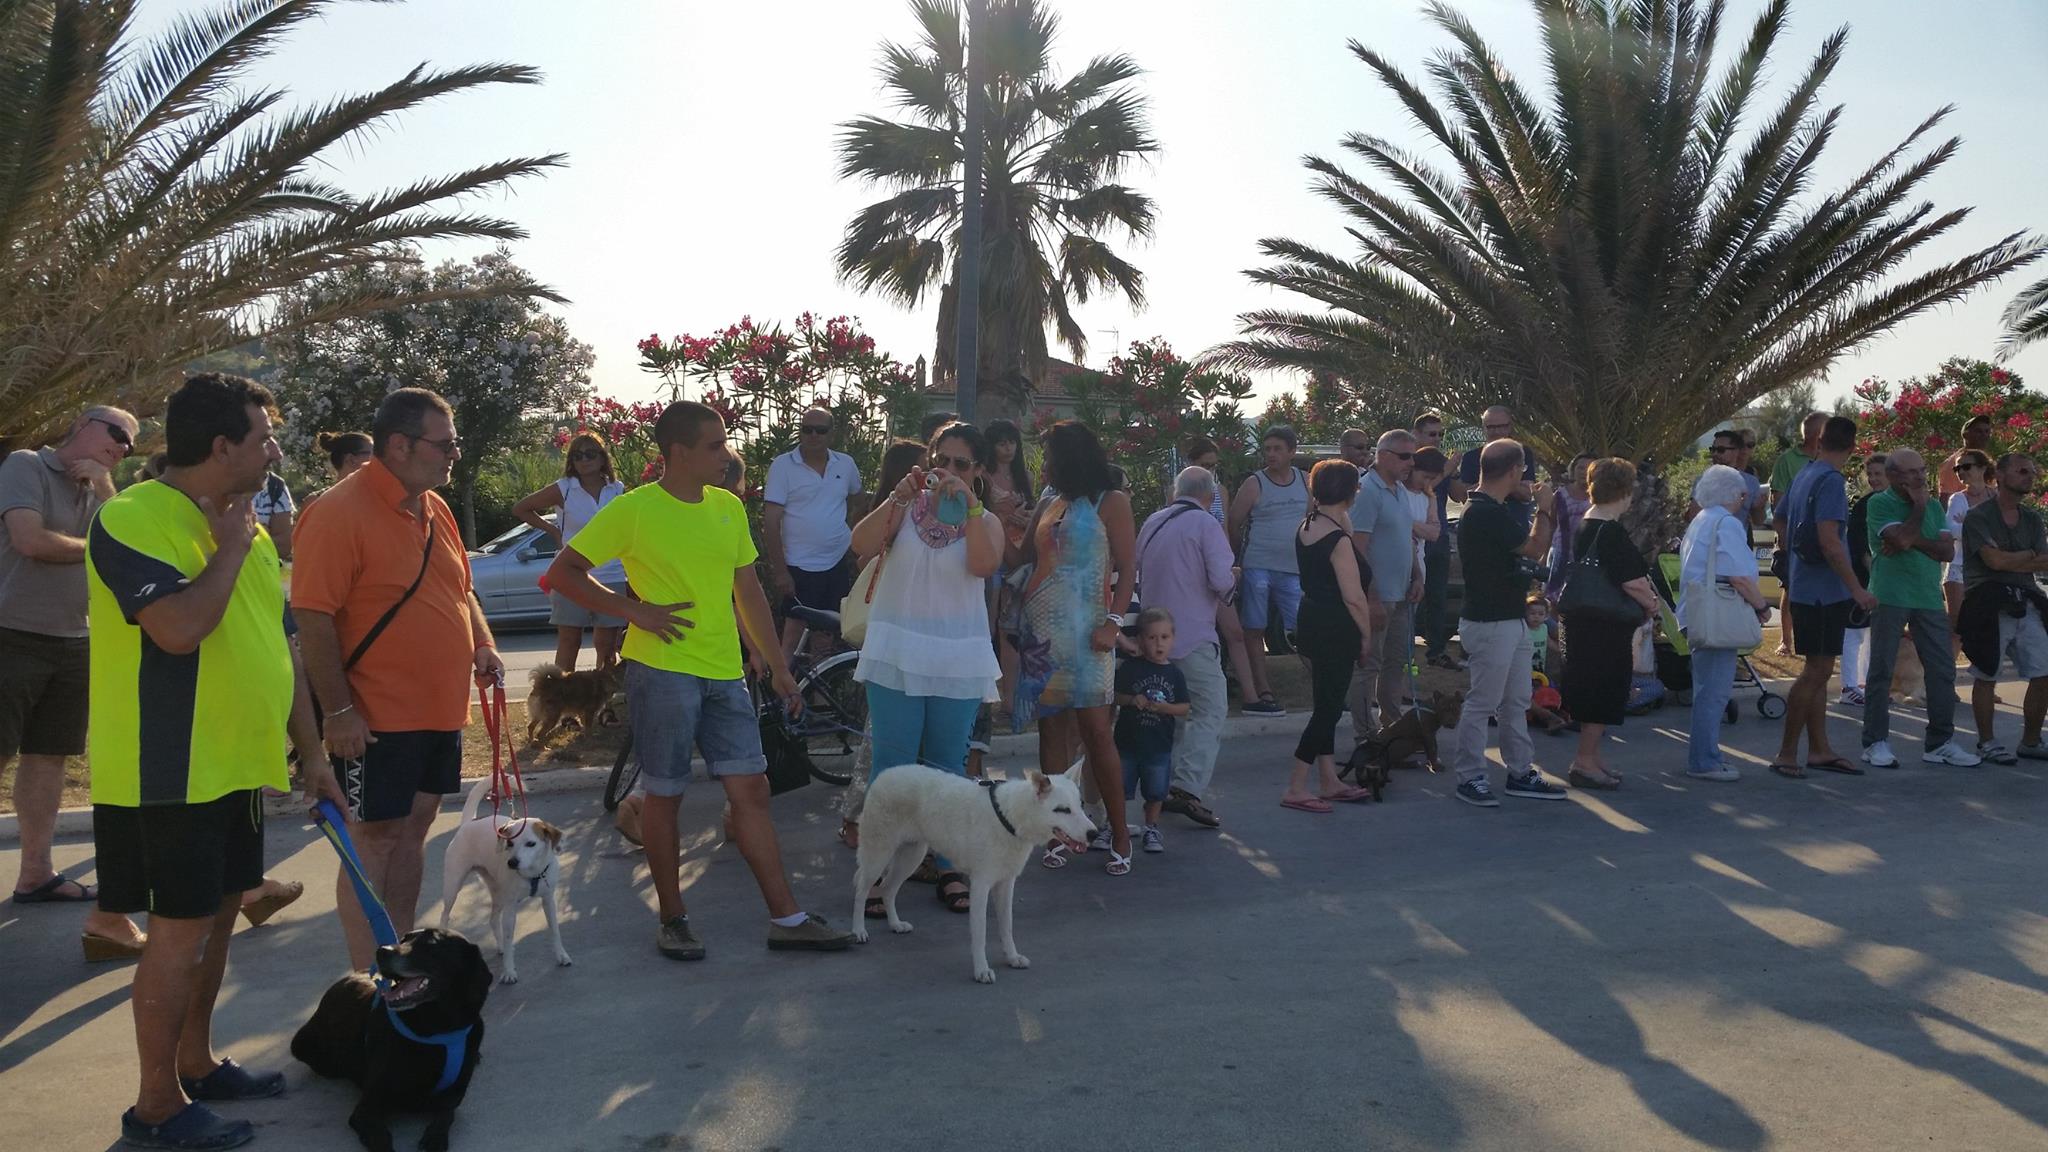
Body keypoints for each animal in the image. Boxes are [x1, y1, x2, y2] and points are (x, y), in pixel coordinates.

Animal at [291, 928, 492, 1152]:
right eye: (404, 939)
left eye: (432, 943)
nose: (381, 951)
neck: (435, 1030)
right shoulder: (367, 1108)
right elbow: (382, 1139)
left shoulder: (455, 1093)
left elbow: (446, 1114)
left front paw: (435, 1138)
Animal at [437, 779, 570, 985]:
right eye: (509, 843)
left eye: (531, 844)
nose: (511, 862)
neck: (531, 874)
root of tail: (469, 823)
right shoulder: (510, 909)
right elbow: (509, 939)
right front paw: (509, 971)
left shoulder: (549, 900)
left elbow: (555, 930)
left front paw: (561, 955)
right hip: (453, 886)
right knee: (445, 916)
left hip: (498, 893)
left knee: (493, 920)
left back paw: (499, 946)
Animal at [851, 766, 1095, 984]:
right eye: (1062, 810)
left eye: (1081, 805)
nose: (1093, 833)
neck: (1009, 818)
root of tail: (885, 774)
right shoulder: (980, 886)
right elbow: (980, 934)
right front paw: (981, 970)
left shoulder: (1006, 884)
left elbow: (1007, 926)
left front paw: (1012, 957)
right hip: (878, 856)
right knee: (862, 890)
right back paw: (858, 930)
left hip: (912, 857)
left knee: (888, 889)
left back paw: (895, 924)